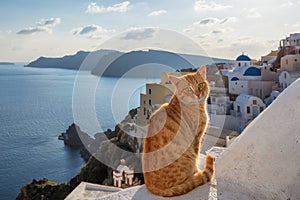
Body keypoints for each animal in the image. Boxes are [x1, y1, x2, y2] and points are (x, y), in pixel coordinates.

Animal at [142, 67, 214, 197]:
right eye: (188, 89)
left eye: (200, 85)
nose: (197, 94)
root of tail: (152, 187)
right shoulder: (196, 138)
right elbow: (197, 157)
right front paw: (198, 172)